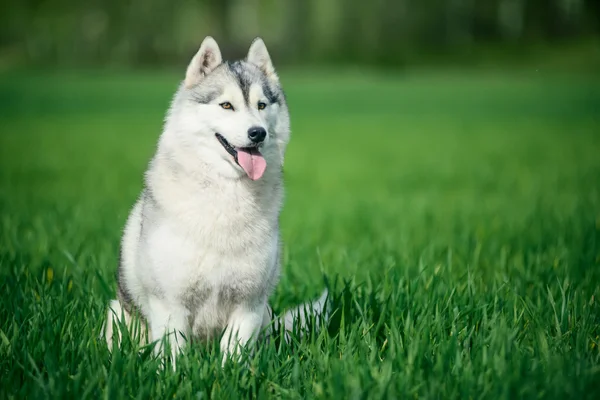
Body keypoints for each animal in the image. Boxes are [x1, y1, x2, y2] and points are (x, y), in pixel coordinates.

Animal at [103, 36, 328, 364]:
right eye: (226, 105)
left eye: (262, 105)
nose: (257, 133)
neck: (228, 194)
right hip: (116, 314)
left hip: (265, 316)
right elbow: (173, 356)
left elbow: (232, 355)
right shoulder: (171, 304)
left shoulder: (249, 304)